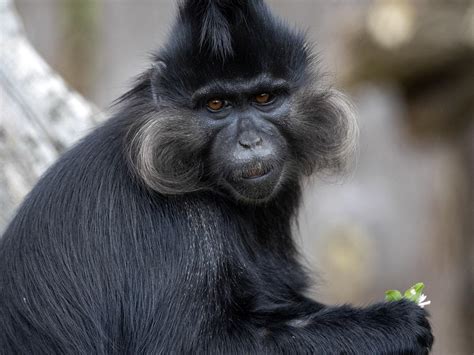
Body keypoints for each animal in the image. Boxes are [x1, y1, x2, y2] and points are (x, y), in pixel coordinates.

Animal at [0, 0, 434, 354]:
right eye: (216, 105)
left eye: (263, 98)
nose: (250, 140)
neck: (200, 179)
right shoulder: (182, 225)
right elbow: (191, 345)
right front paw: (395, 322)